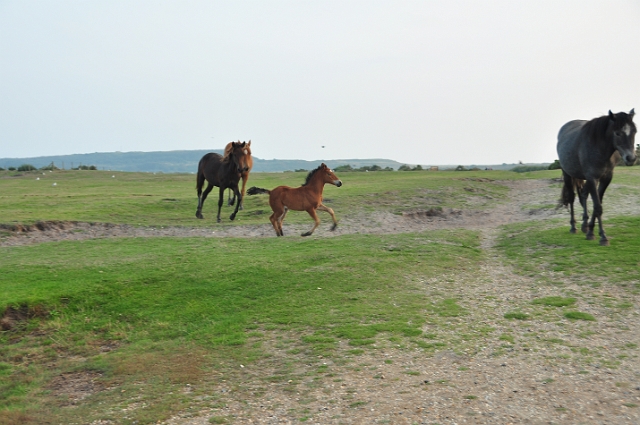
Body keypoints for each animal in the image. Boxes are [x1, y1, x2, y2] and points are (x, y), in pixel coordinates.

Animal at [557, 109, 636, 245]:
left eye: (634, 131)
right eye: (617, 133)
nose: (631, 158)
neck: (600, 148)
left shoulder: (606, 178)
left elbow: (597, 204)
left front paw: (590, 231)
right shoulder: (592, 178)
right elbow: (598, 206)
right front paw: (602, 237)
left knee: (583, 195)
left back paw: (584, 225)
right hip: (568, 174)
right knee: (572, 198)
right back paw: (573, 227)